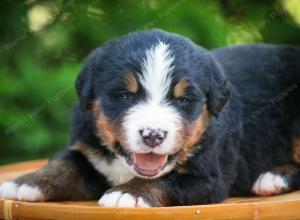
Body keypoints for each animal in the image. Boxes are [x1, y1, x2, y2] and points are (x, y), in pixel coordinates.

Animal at [0, 29, 300, 208]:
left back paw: (272, 177)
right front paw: (26, 181)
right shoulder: (87, 149)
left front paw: (127, 193)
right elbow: (65, 165)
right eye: (124, 96)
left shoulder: (210, 177)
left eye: (183, 100)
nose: (153, 135)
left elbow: (165, 179)